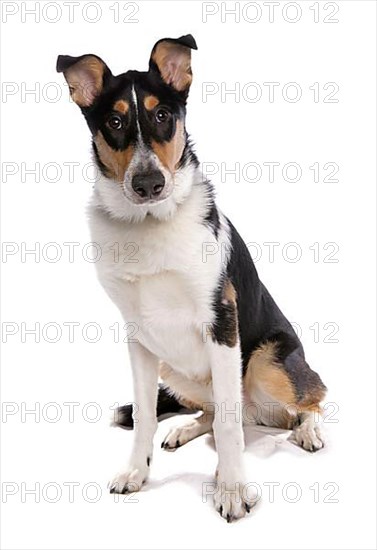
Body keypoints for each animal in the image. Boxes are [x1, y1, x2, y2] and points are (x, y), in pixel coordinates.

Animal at [56, 34, 326, 520]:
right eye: (115, 121)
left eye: (163, 115)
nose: (148, 184)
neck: (148, 225)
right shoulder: (139, 337)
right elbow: (144, 414)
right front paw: (137, 472)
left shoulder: (221, 321)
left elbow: (230, 428)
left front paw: (233, 489)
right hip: (174, 367)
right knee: (214, 412)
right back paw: (183, 430)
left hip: (266, 363)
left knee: (311, 398)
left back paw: (307, 430)